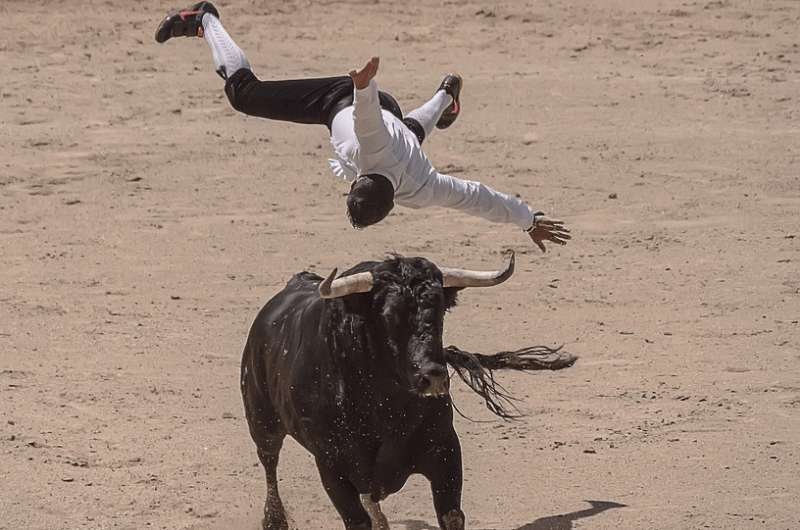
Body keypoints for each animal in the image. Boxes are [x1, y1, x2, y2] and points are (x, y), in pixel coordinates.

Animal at [239, 252, 576, 528]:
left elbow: (451, 515)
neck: (385, 402)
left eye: (439, 310)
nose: (434, 376)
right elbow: (356, 520)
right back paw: (274, 520)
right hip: (262, 420)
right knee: (269, 462)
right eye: (389, 315)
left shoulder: (445, 450)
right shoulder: (331, 465)